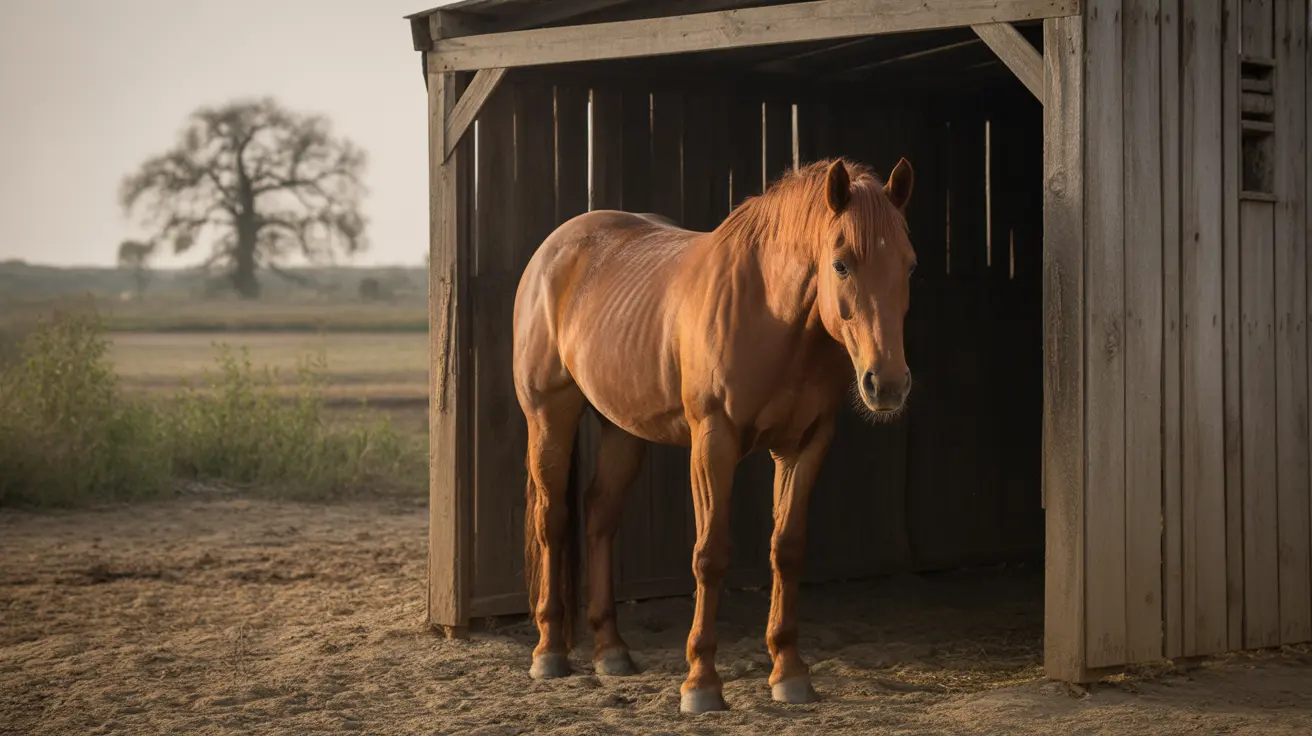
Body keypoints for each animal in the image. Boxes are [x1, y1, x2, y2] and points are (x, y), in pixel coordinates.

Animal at [512, 156, 916, 714]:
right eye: (841, 264)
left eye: (909, 265)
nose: (889, 384)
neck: (771, 313)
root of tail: (551, 251)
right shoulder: (713, 442)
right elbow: (710, 555)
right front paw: (701, 683)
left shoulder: (804, 445)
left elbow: (787, 549)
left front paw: (790, 673)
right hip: (550, 415)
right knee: (552, 520)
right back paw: (549, 652)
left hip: (622, 431)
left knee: (599, 517)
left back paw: (611, 651)